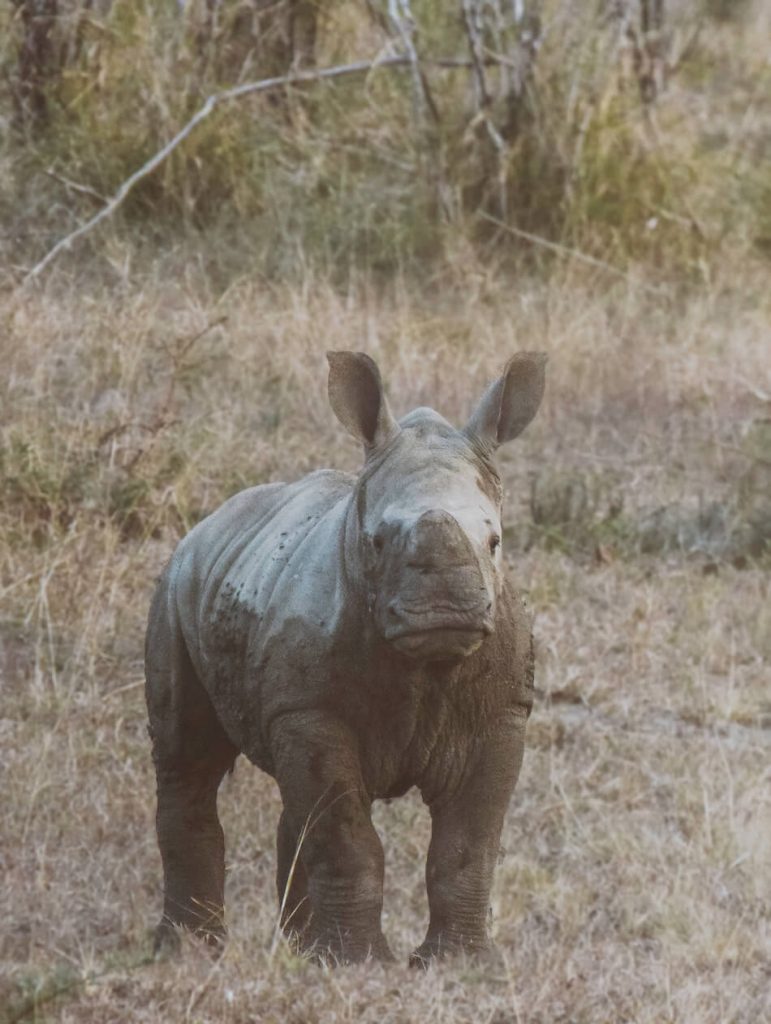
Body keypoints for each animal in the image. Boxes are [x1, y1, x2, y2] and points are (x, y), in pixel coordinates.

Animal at [143, 348, 540, 962]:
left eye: (494, 541)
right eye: (377, 541)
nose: (444, 607)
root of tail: (208, 524)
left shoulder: (501, 713)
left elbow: (467, 844)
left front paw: (460, 964)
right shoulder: (309, 710)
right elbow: (347, 836)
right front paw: (359, 964)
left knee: (292, 800)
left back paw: (299, 953)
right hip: (175, 585)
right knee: (188, 761)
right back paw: (191, 950)